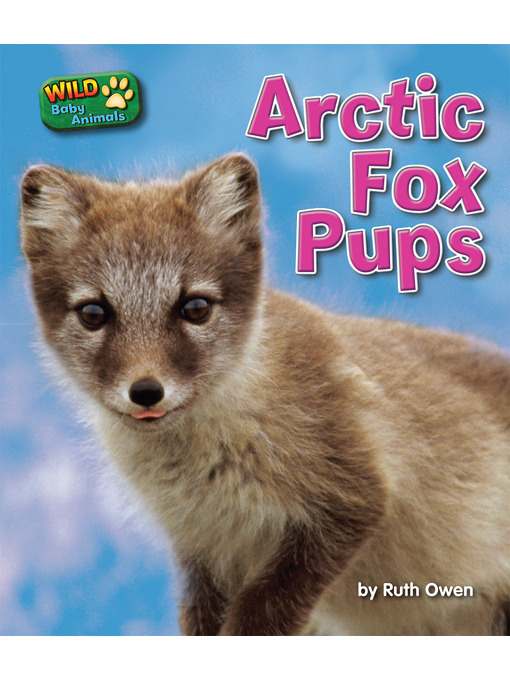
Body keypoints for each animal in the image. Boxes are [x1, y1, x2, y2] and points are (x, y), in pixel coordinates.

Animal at [20, 153, 510, 635]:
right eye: (93, 313)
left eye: (195, 308)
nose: (145, 391)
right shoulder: (202, 546)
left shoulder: (353, 495)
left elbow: (259, 614)